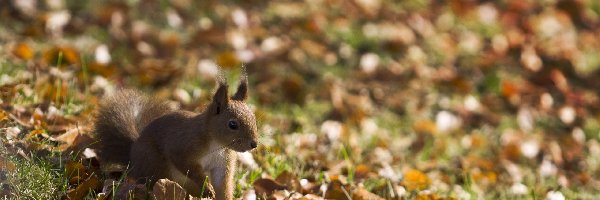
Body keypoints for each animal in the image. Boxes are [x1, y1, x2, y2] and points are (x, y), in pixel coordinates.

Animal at [94, 72, 258, 199]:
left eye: (254, 118)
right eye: (232, 124)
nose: (254, 144)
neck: (217, 144)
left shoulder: (223, 162)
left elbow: (222, 185)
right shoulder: (183, 146)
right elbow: (186, 166)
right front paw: (207, 188)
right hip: (155, 165)